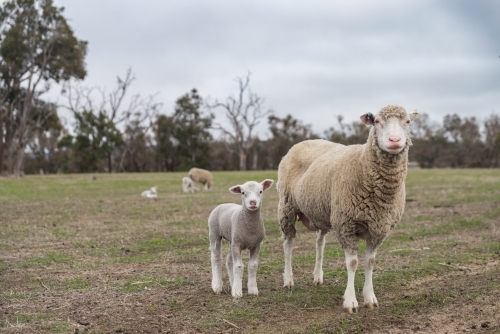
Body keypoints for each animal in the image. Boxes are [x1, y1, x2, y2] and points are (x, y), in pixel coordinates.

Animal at [278, 105, 418, 314]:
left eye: (407, 121)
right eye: (377, 121)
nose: (394, 140)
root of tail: (306, 141)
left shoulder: (379, 229)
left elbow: (370, 262)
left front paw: (370, 298)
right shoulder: (346, 225)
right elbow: (352, 263)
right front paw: (351, 302)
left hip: (323, 211)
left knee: (319, 242)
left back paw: (317, 276)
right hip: (287, 206)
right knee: (288, 243)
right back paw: (288, 280)